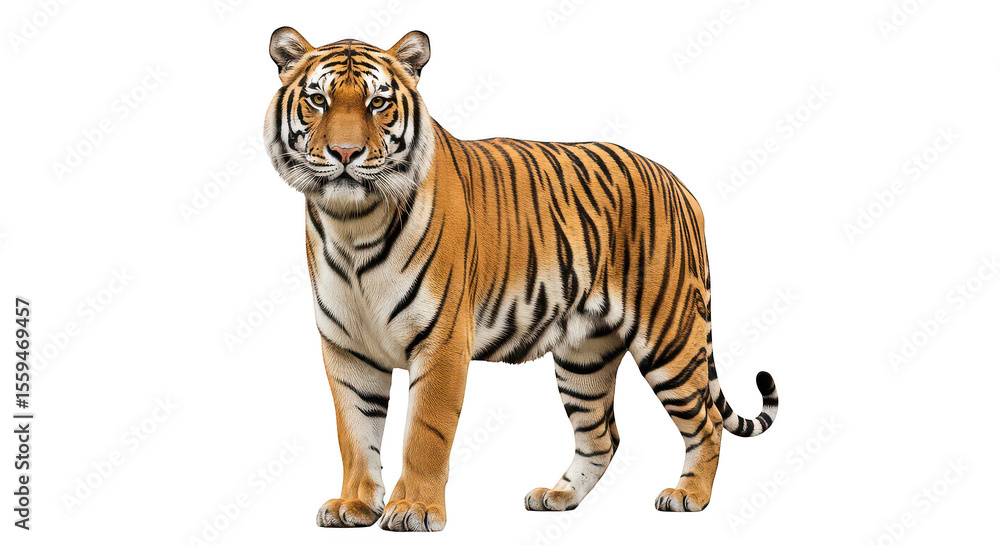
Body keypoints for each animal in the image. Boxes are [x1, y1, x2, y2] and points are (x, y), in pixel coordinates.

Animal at [263, 27, 779, 532]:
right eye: (318, 100)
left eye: (378, 103)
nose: (345, 152)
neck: (353, 222)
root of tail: (680, 186)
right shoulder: (347, 348)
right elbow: (354, 434)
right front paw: (354, 505)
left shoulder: (442, 342)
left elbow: (425, 435)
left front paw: (415, 509)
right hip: (584, 357)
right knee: (602, 436)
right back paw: (559, 496)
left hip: (669, 338)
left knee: (706, 422)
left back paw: (689, 496)